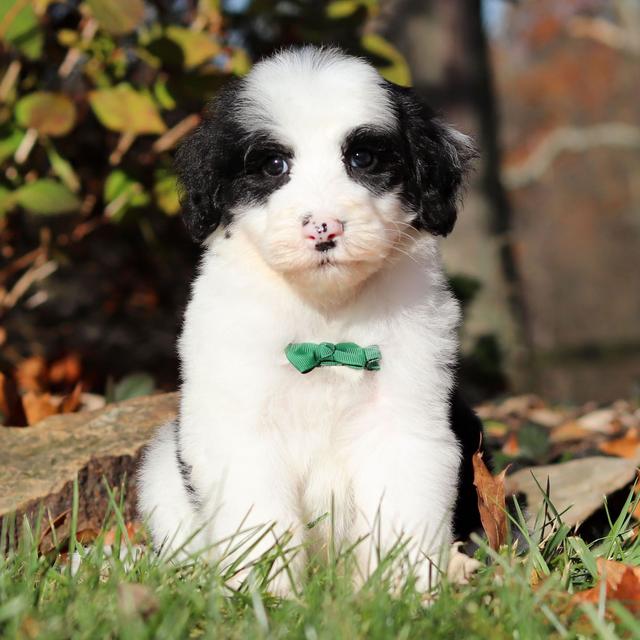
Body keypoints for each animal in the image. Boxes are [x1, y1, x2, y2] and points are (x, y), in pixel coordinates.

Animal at [138, 46, 482, 596]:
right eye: (274, 164)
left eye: (362, 159)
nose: (324, 227)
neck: (326, 317)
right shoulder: (239, 424)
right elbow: (261, 519)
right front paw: (269, 596)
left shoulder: (407, 418)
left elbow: (404, 510)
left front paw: (402, 592)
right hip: (161, 471)